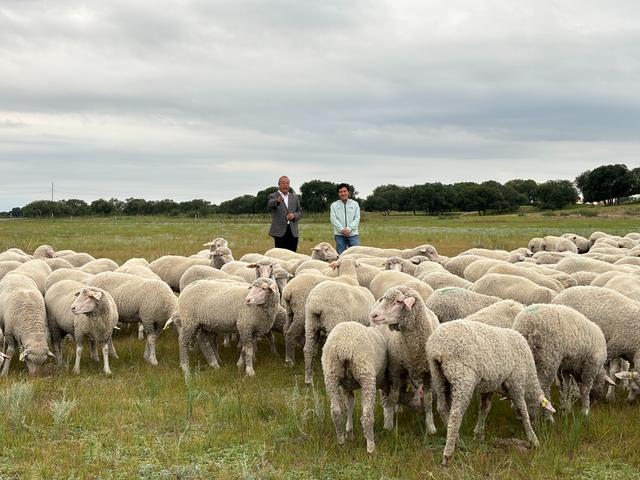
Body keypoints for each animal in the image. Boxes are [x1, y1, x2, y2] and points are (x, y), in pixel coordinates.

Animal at [322, 322, 392, 454]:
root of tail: (344, 348)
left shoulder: (347, 387)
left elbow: (349, 404)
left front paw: (349, 433)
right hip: (366, 373)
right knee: (367, 413)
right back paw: (371, 447)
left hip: (331, 374)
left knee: (336, 411)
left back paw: (341, 441)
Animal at [424, 320, 556, 466]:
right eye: (539, 408)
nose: (537, 425)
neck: (529, 379)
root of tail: (438, 347)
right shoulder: (516, 383)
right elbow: (523, 410)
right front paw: (533, 438)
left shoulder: (489, 387)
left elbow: (485, 409)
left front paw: (478, 432)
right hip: (463, 377)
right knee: (455, 414)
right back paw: (448, 454)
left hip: (438, 376)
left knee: (442, 408)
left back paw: (456, 440)